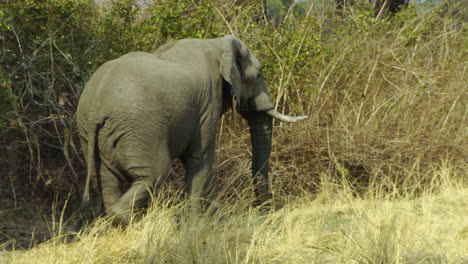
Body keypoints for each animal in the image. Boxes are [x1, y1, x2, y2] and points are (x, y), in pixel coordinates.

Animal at [77, 35, 308, 225]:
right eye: (259, 74)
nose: (265, 215)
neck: (217, 43)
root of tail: (96, 106)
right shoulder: (208, 103)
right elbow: (200, 158)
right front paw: (195, 223)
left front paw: (217, 220)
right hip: (139, 129)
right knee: (154, 173)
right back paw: (134, 222)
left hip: (93, 136)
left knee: (108, 182)